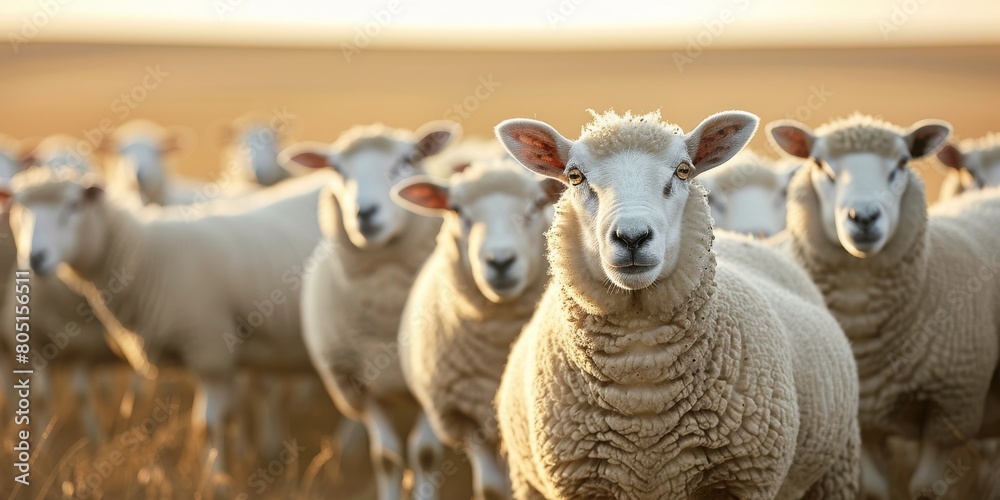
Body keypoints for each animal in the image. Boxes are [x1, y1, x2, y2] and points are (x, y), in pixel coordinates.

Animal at [3, 164, 336, 477]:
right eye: (19, 208)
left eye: (73, 205)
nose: (35, 258)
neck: (148, 257)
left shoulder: (211, 351)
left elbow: (208, 426)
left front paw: (216, 481)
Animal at [283, 121, 459, 500]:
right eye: (337, 169)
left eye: (407, 160)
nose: (365, 213)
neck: (387, 318)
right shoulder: (361, 387)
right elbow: (387, 457)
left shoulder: (431, 383)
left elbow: (424, 453)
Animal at [768, 113, 1000, 498]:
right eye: (820, 164)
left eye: (902, 163)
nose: (863, 216)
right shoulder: (864, 419)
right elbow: (876, 488)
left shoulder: (950, 410)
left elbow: (925, 487)